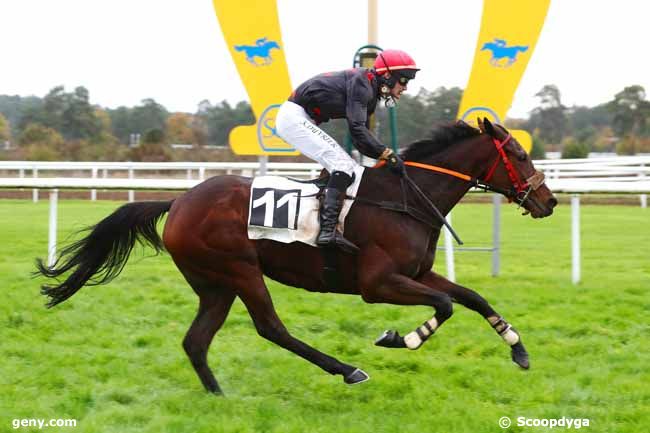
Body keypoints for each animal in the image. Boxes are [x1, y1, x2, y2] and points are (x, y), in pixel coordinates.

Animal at [35, 118, 556, 394]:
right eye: (517, 154)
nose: (548, 200)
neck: (405, 197)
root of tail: (179, 201)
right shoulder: (377, 284)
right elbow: (445, 306)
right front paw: (397, 338)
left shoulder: (419, 273)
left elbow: (471, 297)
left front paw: (519, 349)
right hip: (240, 270)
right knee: (272, 328)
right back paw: (347, 370)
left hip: (215, 284)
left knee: (196, 341)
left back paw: (219, 395)